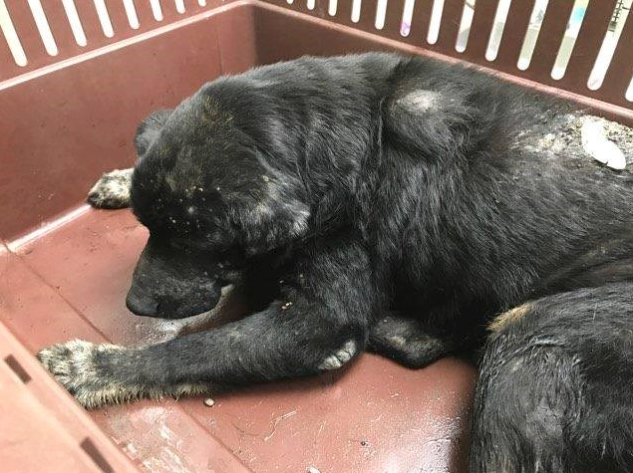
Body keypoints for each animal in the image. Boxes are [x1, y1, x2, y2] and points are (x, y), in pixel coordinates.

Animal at [38, 53, 633, 472]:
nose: (134, 304)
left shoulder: (318, 320)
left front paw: (93, 367)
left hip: (534, 337)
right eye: (147, 225)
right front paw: (121, 177)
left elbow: (193, 349)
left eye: (200, 237)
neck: (324, 126)